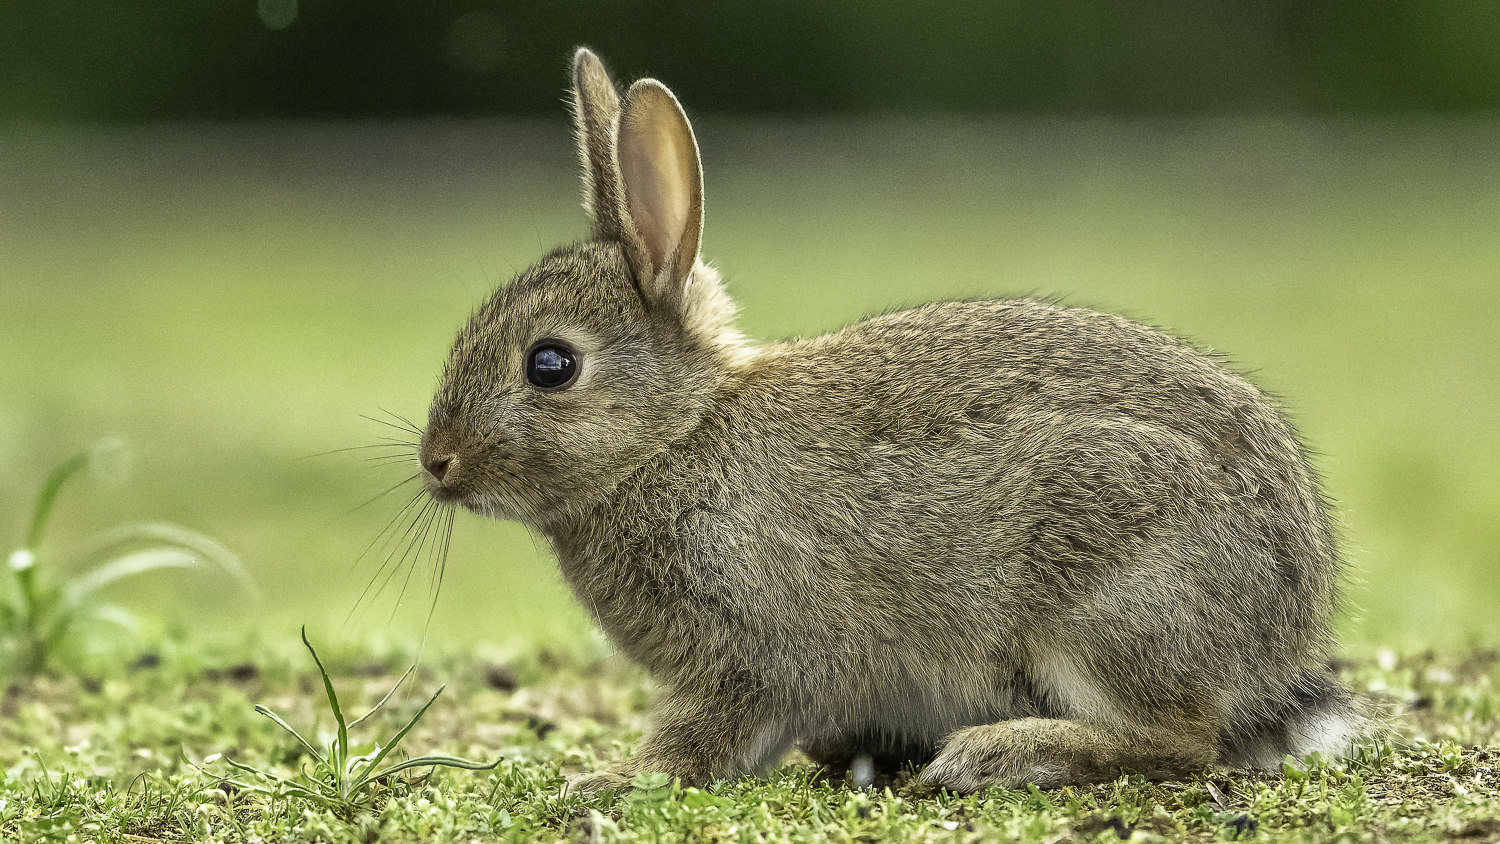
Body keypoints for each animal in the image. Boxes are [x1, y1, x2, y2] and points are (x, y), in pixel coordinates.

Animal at [420, 49, 1362, 797]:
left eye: (550, 364)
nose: (437, 462)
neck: (675, 436)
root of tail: (1282, 632)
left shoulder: (749, 652)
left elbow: (702, 735)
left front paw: (612, 779)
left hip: (1107, 595)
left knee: (1182, 740)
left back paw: (994, 754)